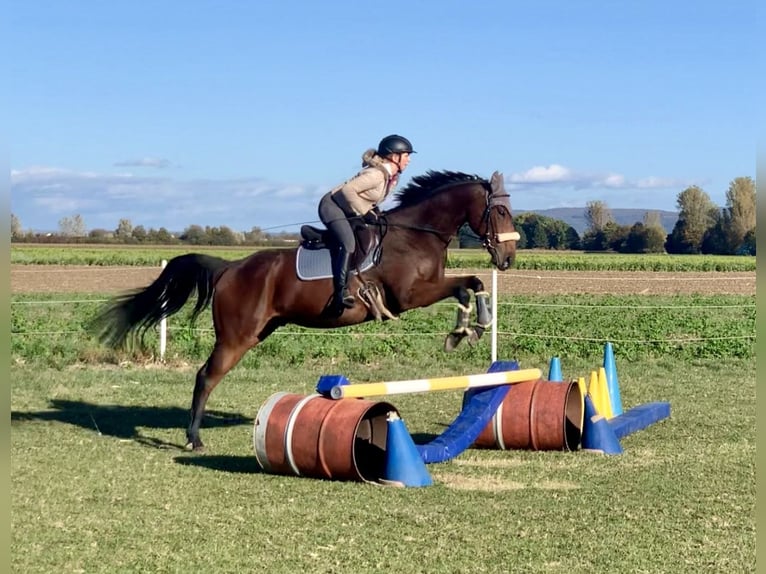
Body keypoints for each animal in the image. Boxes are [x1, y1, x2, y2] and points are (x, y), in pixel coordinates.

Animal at [93, 169, 520, 452]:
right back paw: (194, 439)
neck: (417, 233)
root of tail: (231, 268)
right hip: (236, 336)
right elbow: (465, 286)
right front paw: (467, 330)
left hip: (260, 330)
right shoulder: (411, 294)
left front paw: (472, 328)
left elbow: (473, 284)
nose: (509, 259)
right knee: (205, 377)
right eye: (500, 213)